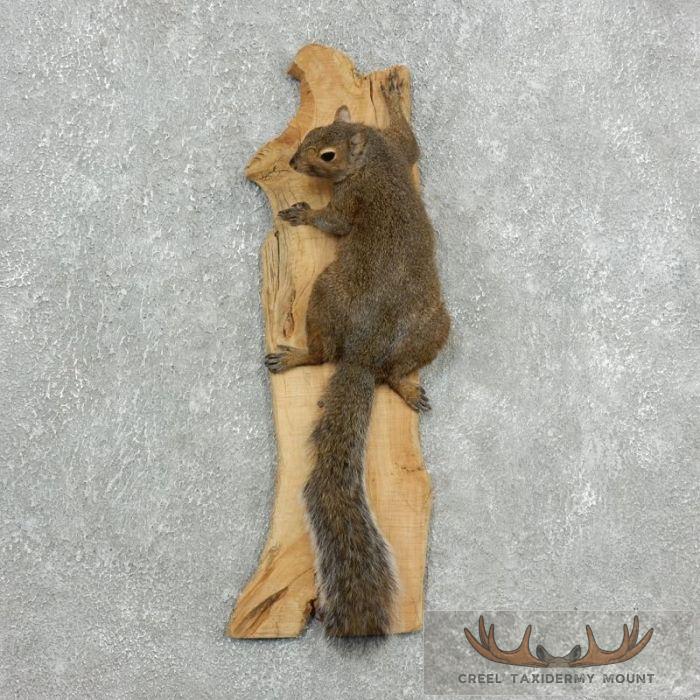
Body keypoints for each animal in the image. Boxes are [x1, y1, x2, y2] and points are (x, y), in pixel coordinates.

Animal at [265, 70, 450, 637]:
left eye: (325, 155)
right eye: (308, 135)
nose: (294, 163)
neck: (372, 158)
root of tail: (364, 355)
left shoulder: (351, 194)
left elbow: (337, 223)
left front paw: (304, 211)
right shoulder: (399, 149)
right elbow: (412, 141)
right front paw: (390, 97)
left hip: (326, 293)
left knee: (325, 353)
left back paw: (298, 355)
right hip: (435, 328)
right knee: (393, 371)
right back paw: (405, 386)